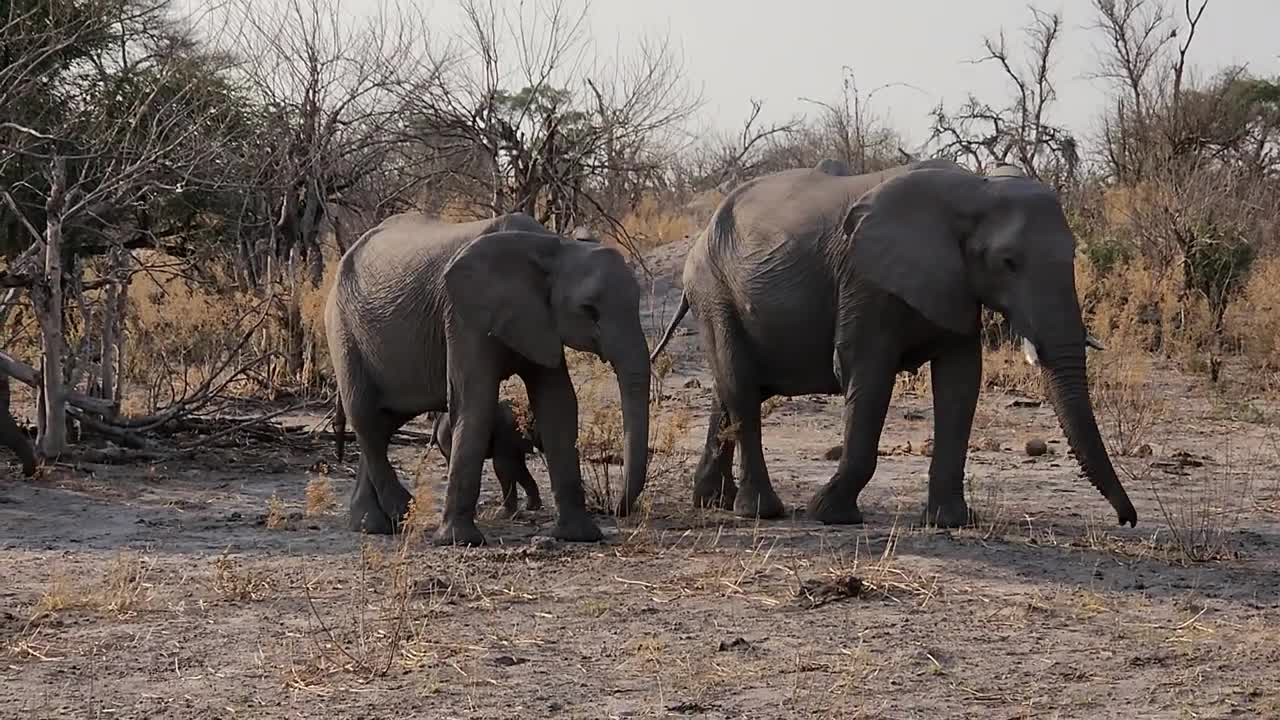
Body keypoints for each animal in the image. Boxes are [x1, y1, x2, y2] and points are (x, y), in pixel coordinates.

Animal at [325, 211, 655, 543]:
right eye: (589, 310)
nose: (616, 508)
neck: (553, 246)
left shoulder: (539, 319)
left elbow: (557, 402)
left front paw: (578, 536)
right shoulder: (462, 314)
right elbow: (475, 400)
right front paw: (460, 541)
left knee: (384, 422)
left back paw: (372, 525)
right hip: (343, 330)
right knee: (366, 418)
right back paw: (401, 513)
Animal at [650, 158, 1141, 527]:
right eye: (1008, 262)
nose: (1128, 520)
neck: (973, 190)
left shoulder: (955, 285)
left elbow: (961, 381)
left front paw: (950, 521)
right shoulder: (865, 280)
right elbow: (865, 370)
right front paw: (828, 513)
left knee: (731, 389)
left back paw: (712, 501)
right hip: (713, 290)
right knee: (740, 387)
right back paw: (760, 512)